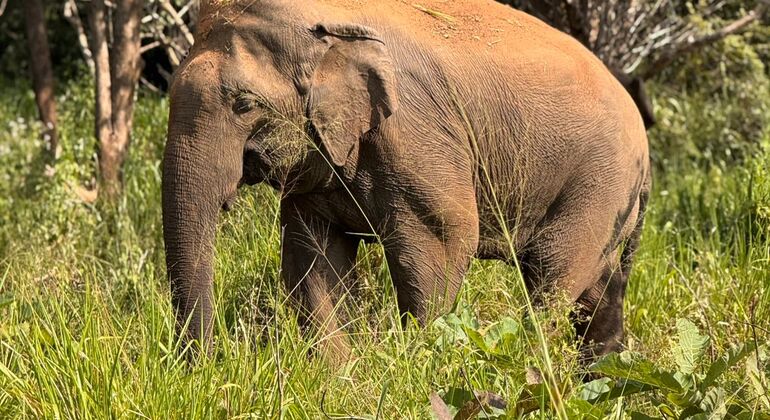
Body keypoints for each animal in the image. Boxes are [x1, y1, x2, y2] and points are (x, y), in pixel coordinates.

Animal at [162, 0, 651, 362]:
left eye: (244, 103)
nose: (205, 367)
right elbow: (312, 253)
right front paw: (340, 378)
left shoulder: (416, 136)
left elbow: (445, 241)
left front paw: (419, 365)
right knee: (599, 294)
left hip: (597, 184)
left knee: (553, 278)